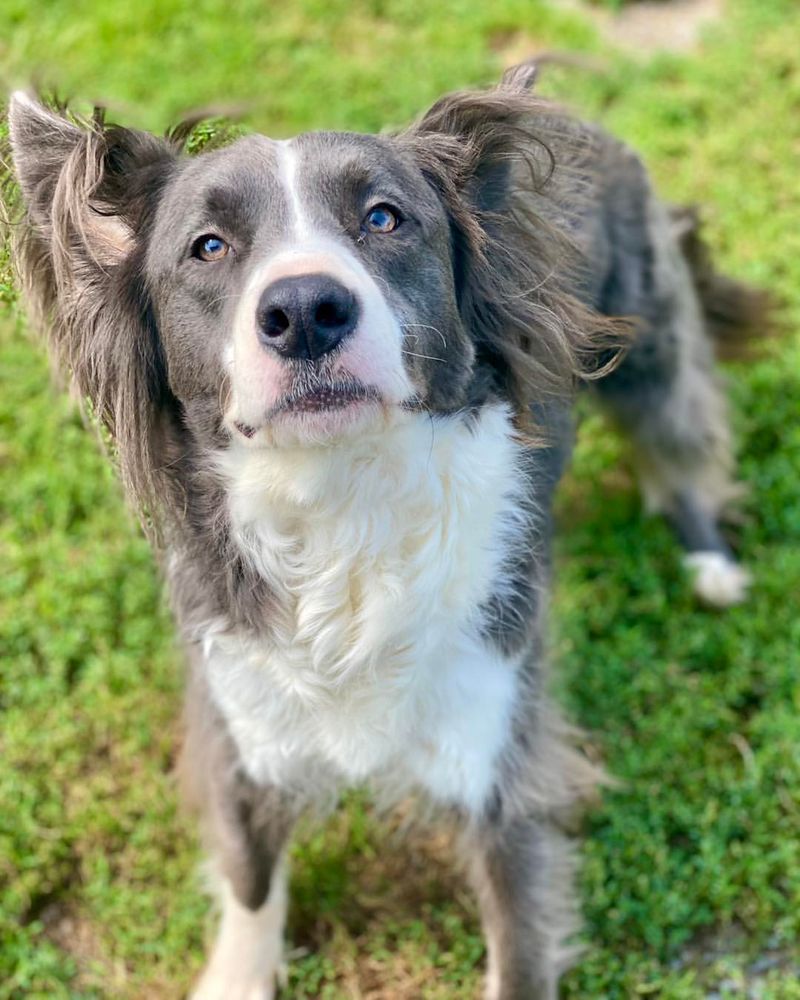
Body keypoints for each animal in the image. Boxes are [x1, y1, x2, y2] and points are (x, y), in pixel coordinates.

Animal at [6, 64, 764, 1000]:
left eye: (383, 218)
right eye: (208, 247)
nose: (305, 310)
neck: (341, 501)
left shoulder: (500, 746)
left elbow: (519, 941)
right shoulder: (240, 712)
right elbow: (250, 874)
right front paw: (236, 972)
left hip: (648, 340)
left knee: (680, 436)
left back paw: (709, 558)